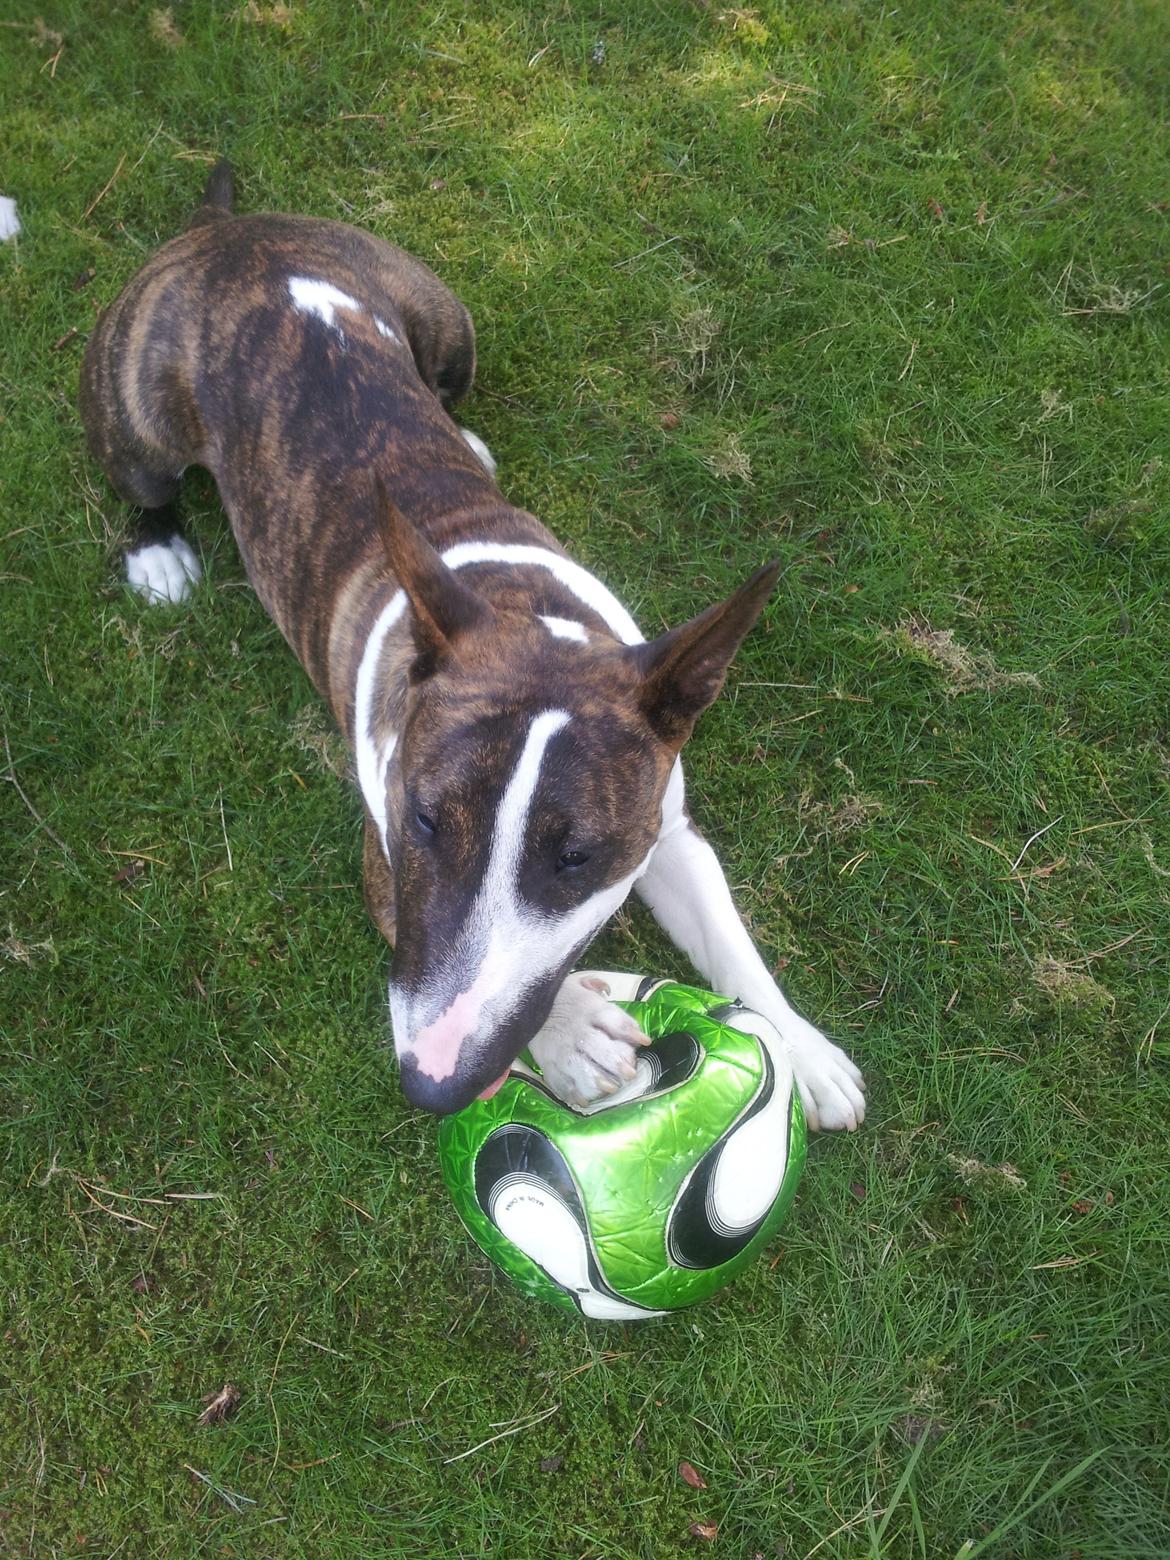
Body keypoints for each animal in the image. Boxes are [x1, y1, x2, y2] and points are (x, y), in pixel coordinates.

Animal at [80, 164, 873, 1129]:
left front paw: (805, 1050)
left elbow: (731, 944)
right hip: (140, 410)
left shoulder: (666, 828)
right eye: (423, 820)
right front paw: (575, 1033)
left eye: (578, 858)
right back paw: (158, 550)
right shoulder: (388, 872)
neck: (517, 604)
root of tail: (226, 233)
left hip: (449, 324)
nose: (434, 1085)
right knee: (141, 479)